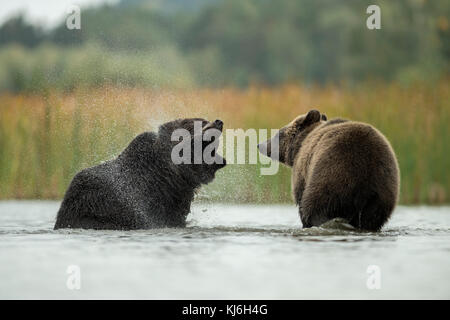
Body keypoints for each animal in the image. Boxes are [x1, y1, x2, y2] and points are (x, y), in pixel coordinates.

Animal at [258, 110, 400, 230]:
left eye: (278, 133)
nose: (260, 145)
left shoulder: (303, 169)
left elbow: (300, 195)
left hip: (333, 175)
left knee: (316, 206)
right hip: (382, 191)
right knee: (371, 218)